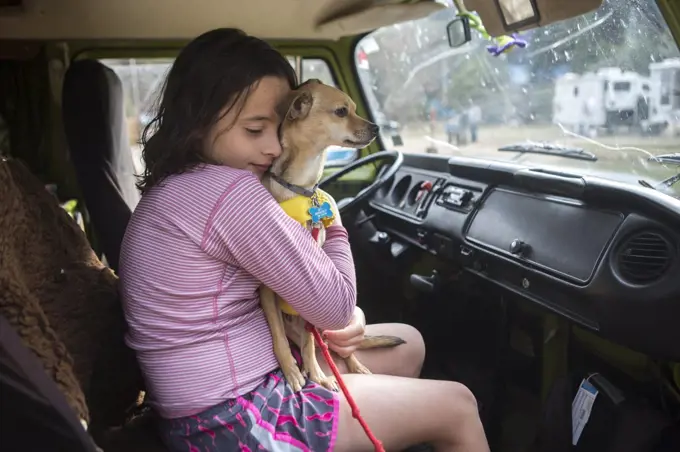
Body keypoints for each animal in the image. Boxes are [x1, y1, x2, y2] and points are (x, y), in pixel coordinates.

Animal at [262, 79, 406, 390]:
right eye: (341, 111)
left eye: (354, 107)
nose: (377, 128)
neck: (299, 187)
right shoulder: (265, 290)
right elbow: (278, 339)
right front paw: (291, 370)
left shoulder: (313, 294)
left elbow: (309, 343)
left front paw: (316, 373)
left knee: (336, 346)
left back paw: (353, 365)